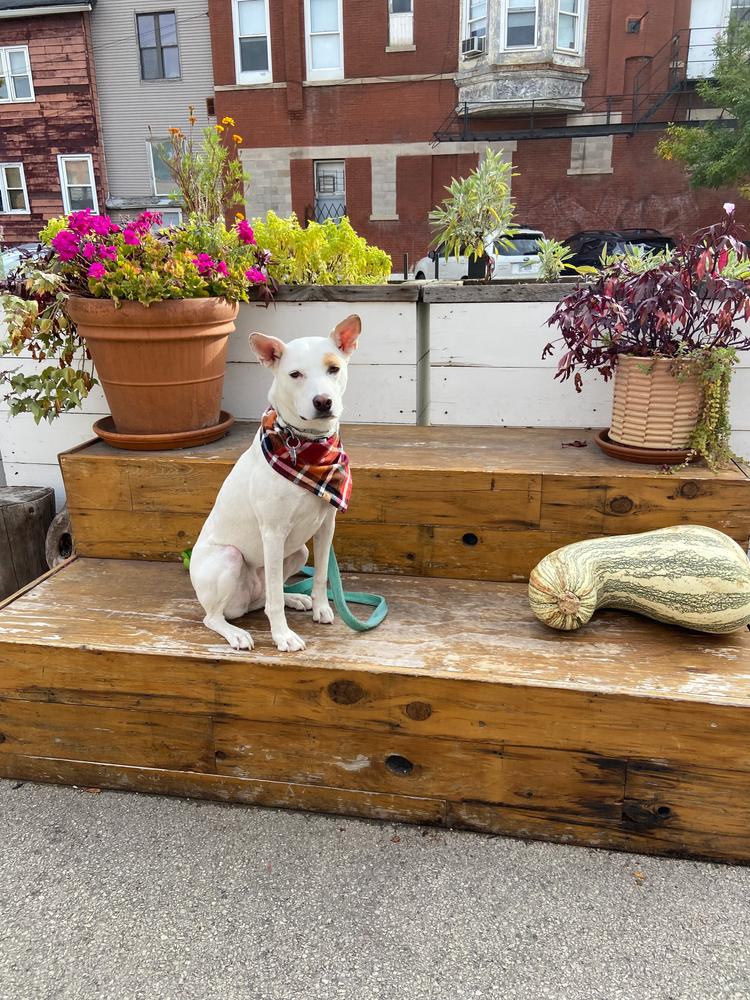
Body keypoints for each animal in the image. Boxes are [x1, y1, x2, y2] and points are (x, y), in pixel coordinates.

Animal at [189, 316, 362, 652]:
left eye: (333, 368)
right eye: (295, 374)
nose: (323, 401)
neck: (308, 446)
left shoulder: (326, 526)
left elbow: (320, 575)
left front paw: (321, 607)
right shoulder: (273, 532)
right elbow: (274, 602)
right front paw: (283, 636)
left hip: (297, 553)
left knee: (265, 596)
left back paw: (295, 597)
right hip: (230, 559)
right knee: (215, 617)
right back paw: (236, 633)